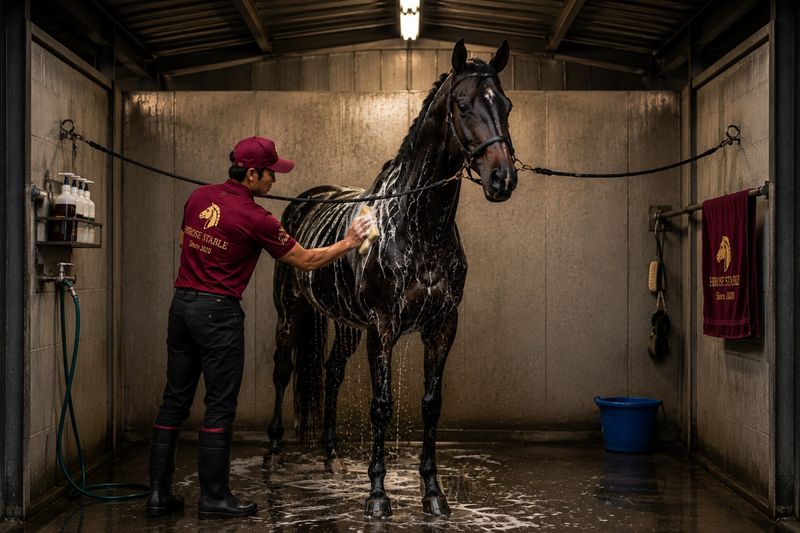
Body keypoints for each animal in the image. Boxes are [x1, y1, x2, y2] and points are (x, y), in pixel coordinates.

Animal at [263, 39, 517, 518]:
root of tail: (305, 201)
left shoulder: (442, 326)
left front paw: (433, 493)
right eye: (463, 104)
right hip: (290, 313)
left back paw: (331, 459)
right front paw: (378, 495)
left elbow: (431, 405)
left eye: (506, 105)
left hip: (345, 324)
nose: (503, 178)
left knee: (332, 373)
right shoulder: (382, 328)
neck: (418, 226)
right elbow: (381, 406)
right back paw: (272, 455)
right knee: (283, 372)